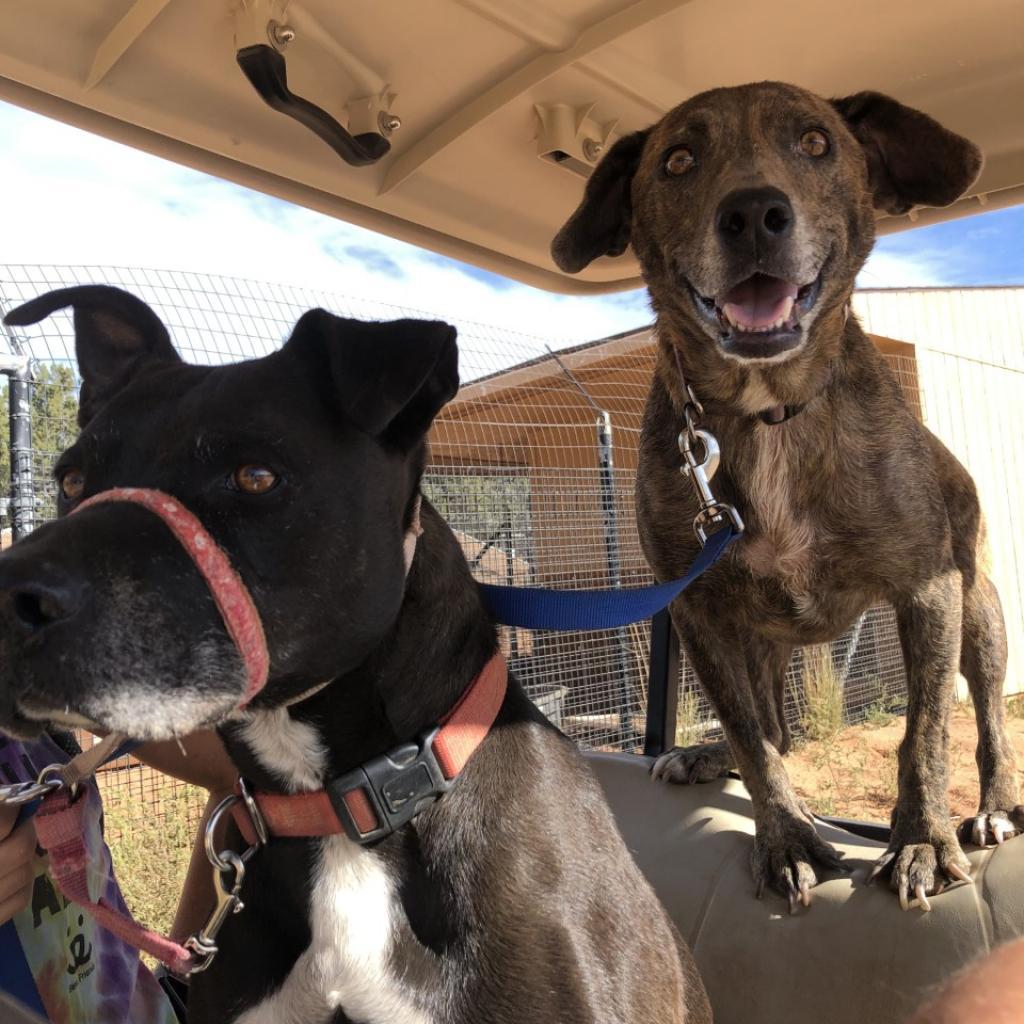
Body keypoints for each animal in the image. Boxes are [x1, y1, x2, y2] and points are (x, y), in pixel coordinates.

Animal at [557, 81, 1019, 913]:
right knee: (772, 723)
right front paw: (786, 834)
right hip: (760, 633)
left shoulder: (927, 591)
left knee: (991, 719)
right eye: (678, 159)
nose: (751, 214)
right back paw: (710, 758)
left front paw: (922, 839)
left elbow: (927, 732)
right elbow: (752, 733)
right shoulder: (699, 607)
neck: (768, 408)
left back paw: (995, 808)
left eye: (814, 143)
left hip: (980, 613)